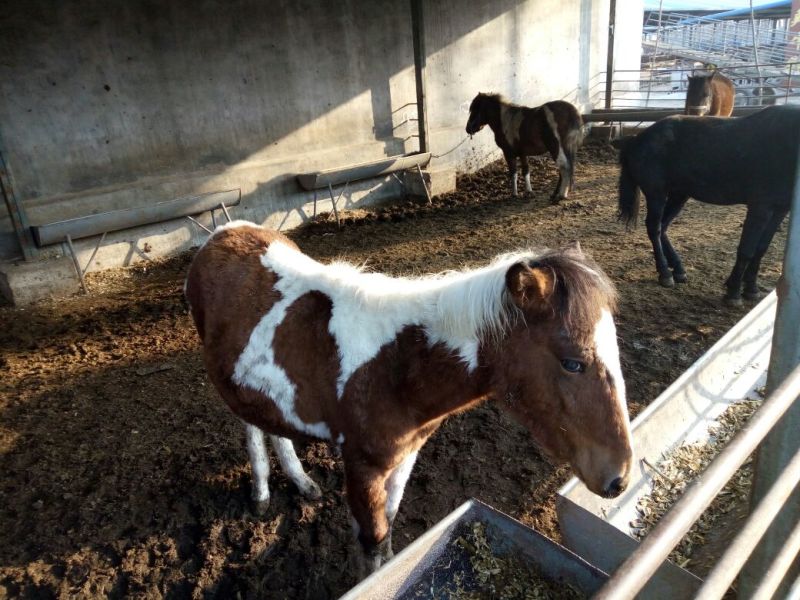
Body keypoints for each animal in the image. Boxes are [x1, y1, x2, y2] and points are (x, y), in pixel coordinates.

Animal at [184, 221, 633, 577]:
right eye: (573, 363)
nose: (619, 478)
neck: (396, 368)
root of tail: (222, 232)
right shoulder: (361, 467)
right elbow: (373, 543)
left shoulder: (406, 454)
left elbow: (389, 531)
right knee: (251, 425)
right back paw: (261, 492)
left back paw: (301, 481)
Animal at [617, 104, 800, 305]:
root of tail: (638, 138)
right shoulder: (760, 208)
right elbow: (747, 249)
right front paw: (734, 291)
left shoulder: (780, 210)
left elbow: (761, 248)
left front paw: (751, 288)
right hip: (656, 193)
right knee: (654, 228)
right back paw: (665, 273)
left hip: (679, 194)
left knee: (663, 226)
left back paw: (679, 270)